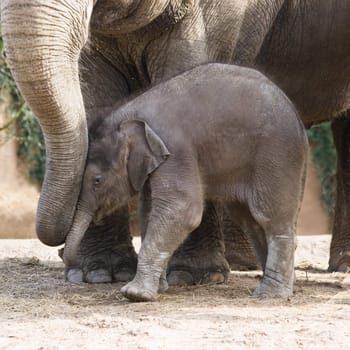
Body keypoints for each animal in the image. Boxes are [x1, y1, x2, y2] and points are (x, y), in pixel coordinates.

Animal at [62, 62, 306, 300]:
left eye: (97, 180)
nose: (63, 255)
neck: (132, 113)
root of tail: (298, 117)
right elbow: (149, 211)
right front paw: (160, 288)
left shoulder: (175, 150)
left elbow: (183, 209)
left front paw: (135, 294)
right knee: (249, 219)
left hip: (276, 156)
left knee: (271, 216)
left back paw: (270, 294)